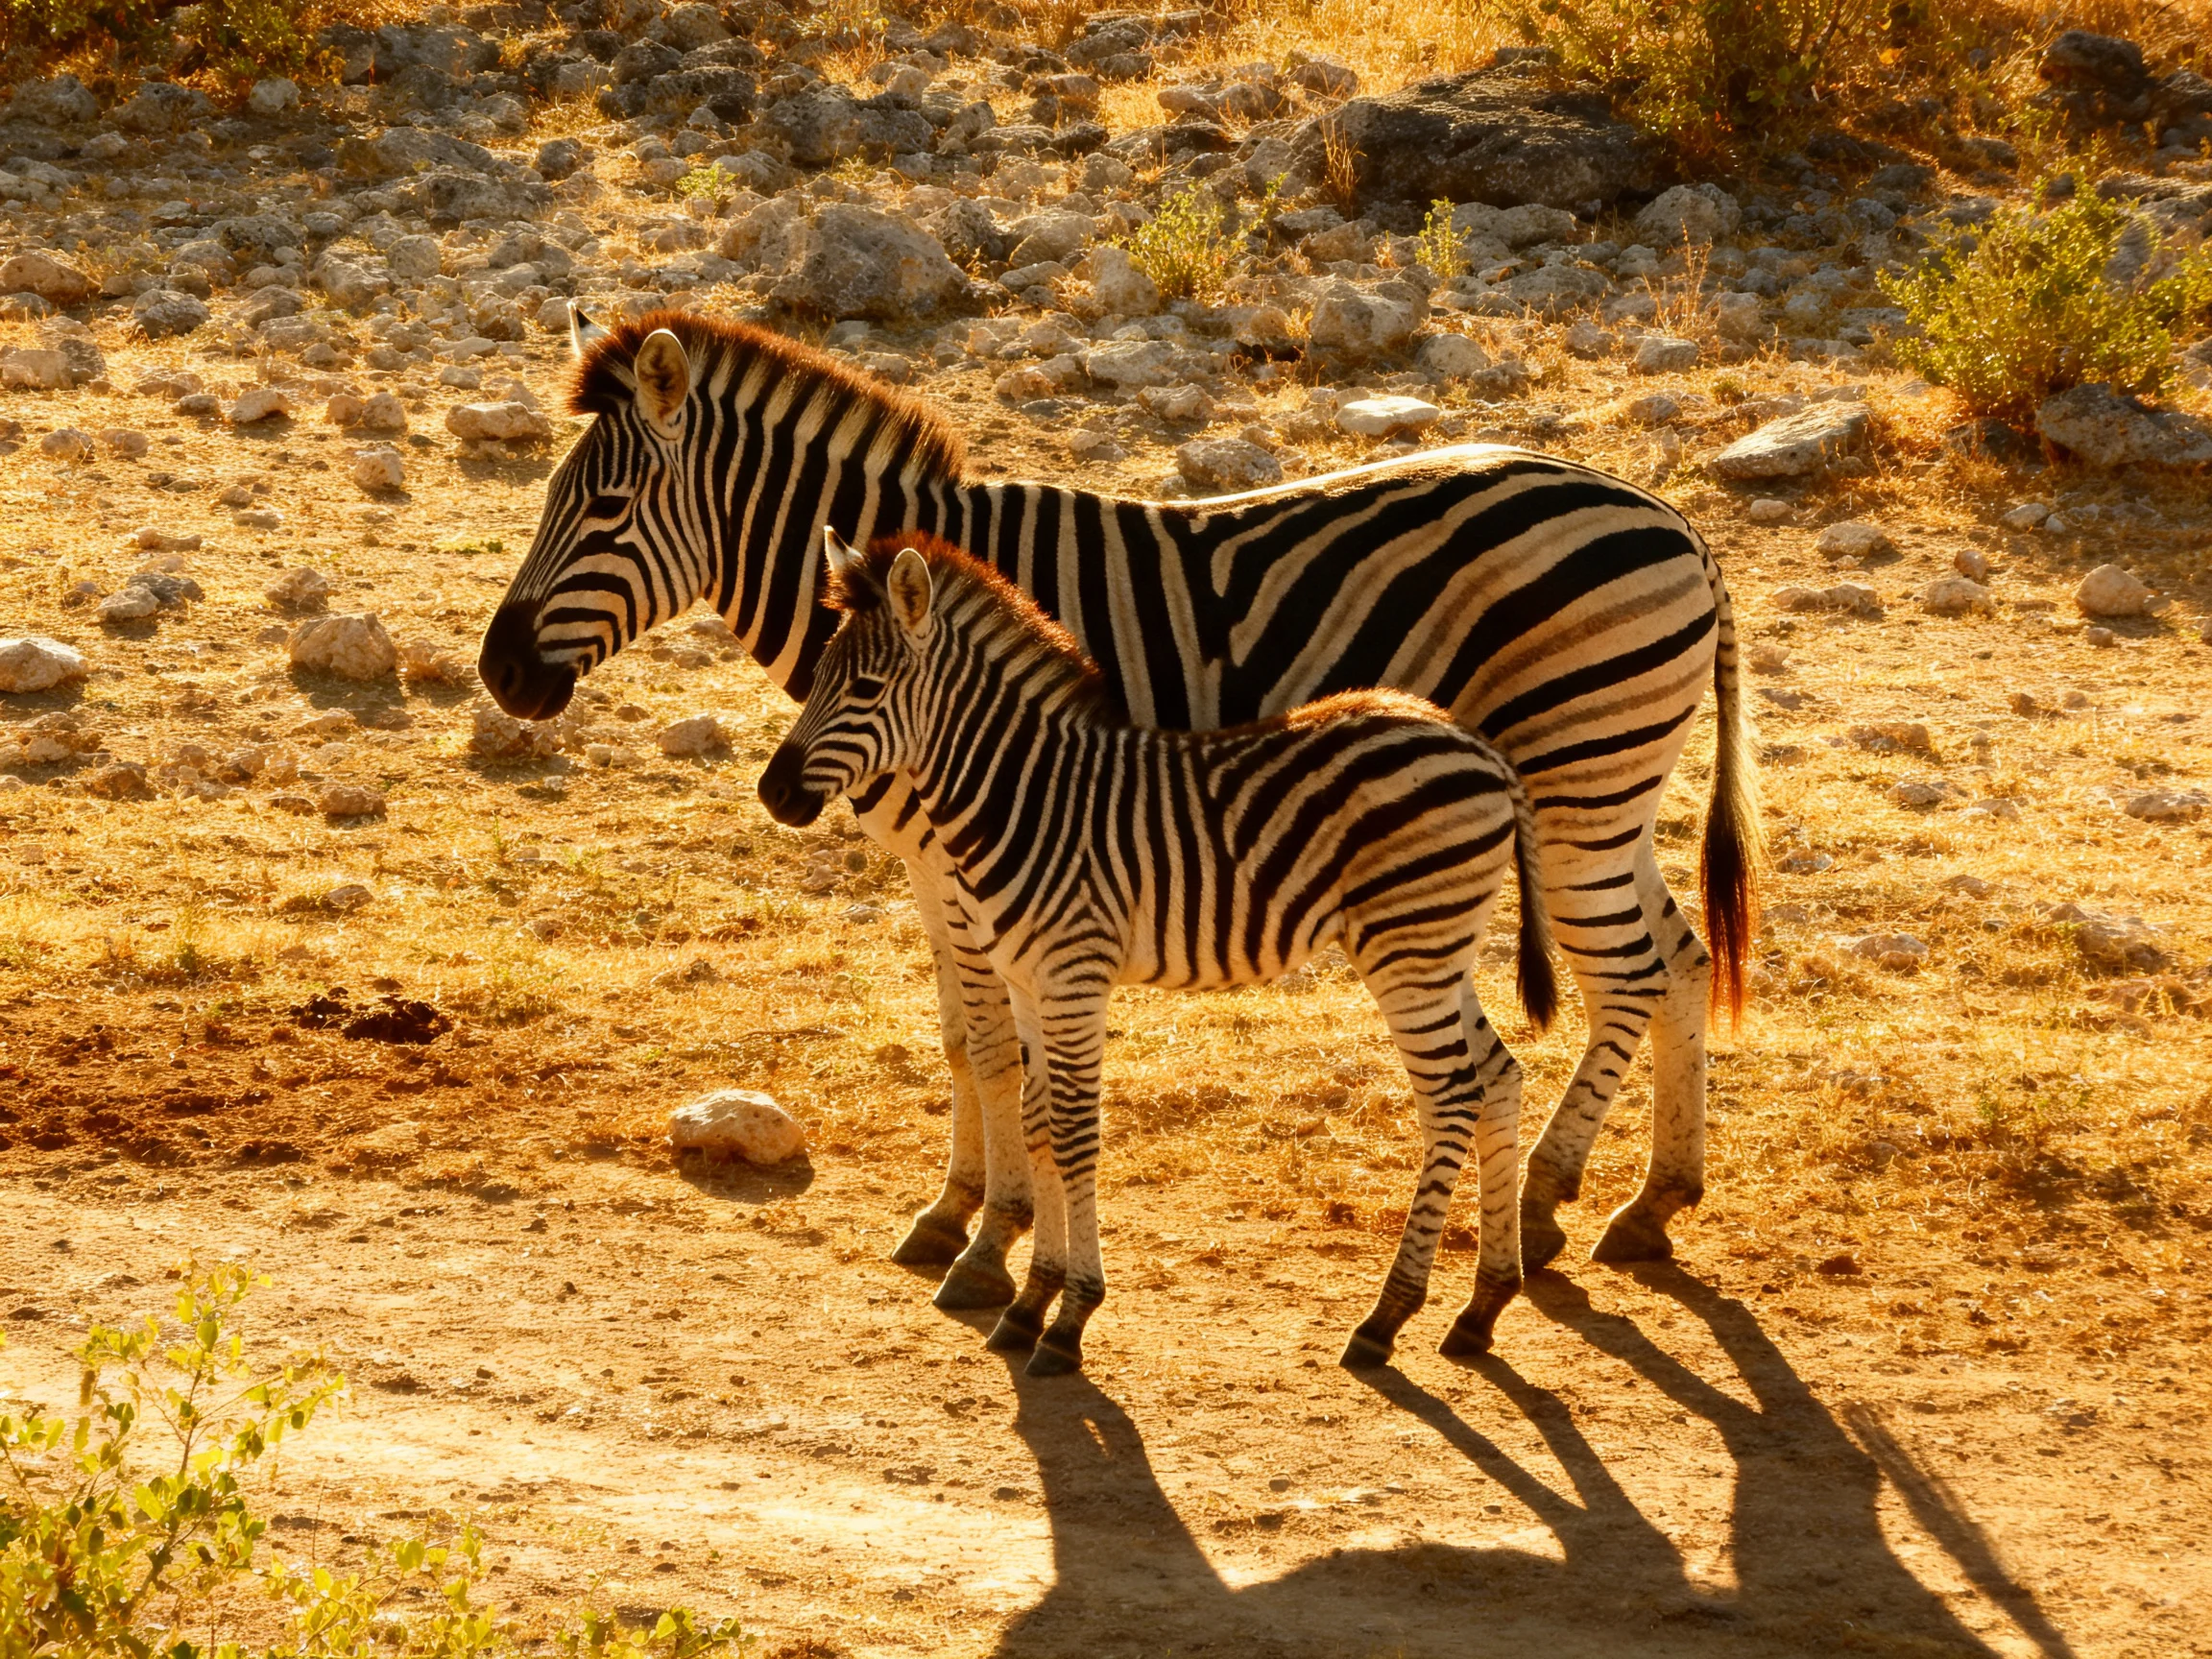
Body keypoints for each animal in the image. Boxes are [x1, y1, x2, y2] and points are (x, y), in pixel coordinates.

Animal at [759, 530, 1558, 1374]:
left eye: (868, 687)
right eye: (818, 677)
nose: (774, 794)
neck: (1023, 795)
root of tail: (1479, 748)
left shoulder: (1074, 975)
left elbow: (1075, 1132)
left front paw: (1070, 1318)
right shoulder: (1026, 979)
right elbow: (1040, 1123)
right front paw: (1029, 1301)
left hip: (1408, 951)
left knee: (1453, 1098)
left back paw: (1386, 1317)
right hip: (1440, 951)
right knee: (1500, 1079)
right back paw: (1482, 1306)